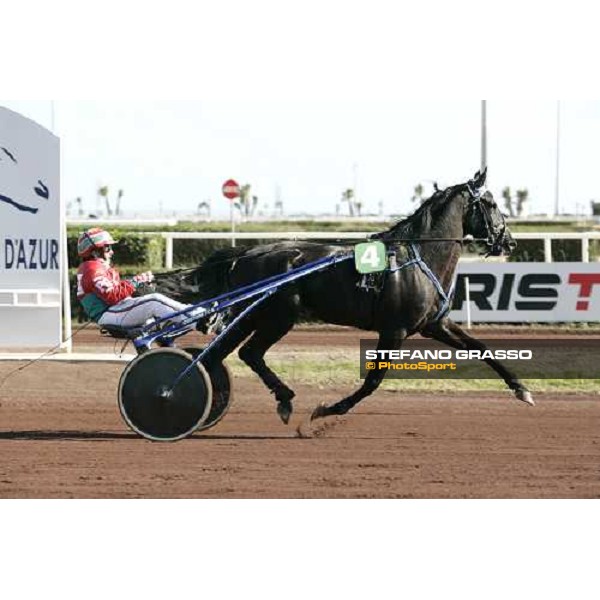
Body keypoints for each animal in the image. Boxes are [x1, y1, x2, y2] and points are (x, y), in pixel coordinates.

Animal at [155, 171, 536, 424]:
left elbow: (482, 347)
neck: (419, 259)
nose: (510, 242)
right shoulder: (393, 330)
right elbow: (373, 381)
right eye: (491, 203)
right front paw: (328, 410)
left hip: (259, 315)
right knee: (244, 353)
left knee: (225, 354)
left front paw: (522, 389)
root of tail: (246, 253)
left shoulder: (434, 325)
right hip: (276, 316)